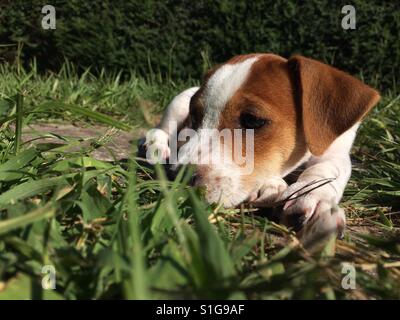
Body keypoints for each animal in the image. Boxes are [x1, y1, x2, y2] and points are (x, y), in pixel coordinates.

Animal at [141, 53, 382, 244]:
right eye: (195, 117)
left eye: (252, 120)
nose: (176, 177)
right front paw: (269, 185)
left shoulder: (336, 150)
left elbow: (328, 169)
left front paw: (315, 197)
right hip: (177, 103)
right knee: (161, 129)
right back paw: (157, 147)